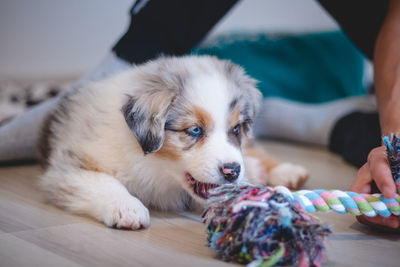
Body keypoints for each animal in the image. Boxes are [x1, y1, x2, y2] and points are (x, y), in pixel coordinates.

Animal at [38, 55, 306, 230]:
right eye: (195, 130)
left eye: (235, 129)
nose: (232, 171)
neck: (156, 168)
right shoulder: (69, 167)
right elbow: (103, 181)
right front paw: (127, 208)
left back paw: (286, 171)